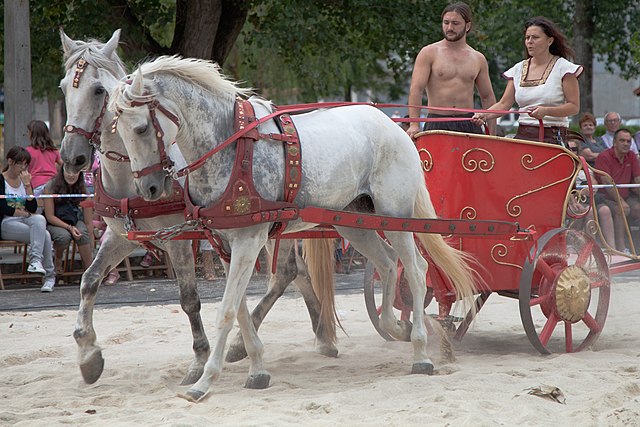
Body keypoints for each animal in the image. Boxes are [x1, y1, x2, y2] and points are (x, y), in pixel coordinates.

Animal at [60, 30, 340, 388]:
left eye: (98, 90)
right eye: (64, 87)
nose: (72, 157)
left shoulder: (178, 239)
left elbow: (189, 299)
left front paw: (199, 358)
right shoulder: (121, 235)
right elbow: (89, 280)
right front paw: (88, 355)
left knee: (286, 273)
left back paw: (243, 344)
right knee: (296, 272)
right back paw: (320, 334)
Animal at [109, 56, 480, 402]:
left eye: (140, 128)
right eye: (119, 131)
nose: (149, 189)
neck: (229, 146)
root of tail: (394, 127)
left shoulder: (249, 240)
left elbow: (227, 311)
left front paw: (204, 382)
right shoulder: (226, 244)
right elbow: (240, 309)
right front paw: (256, 370)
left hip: (396, 216)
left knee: (416, 270)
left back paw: (420, 352)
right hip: (355, 222)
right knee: (388, 264)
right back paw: (396, 326)